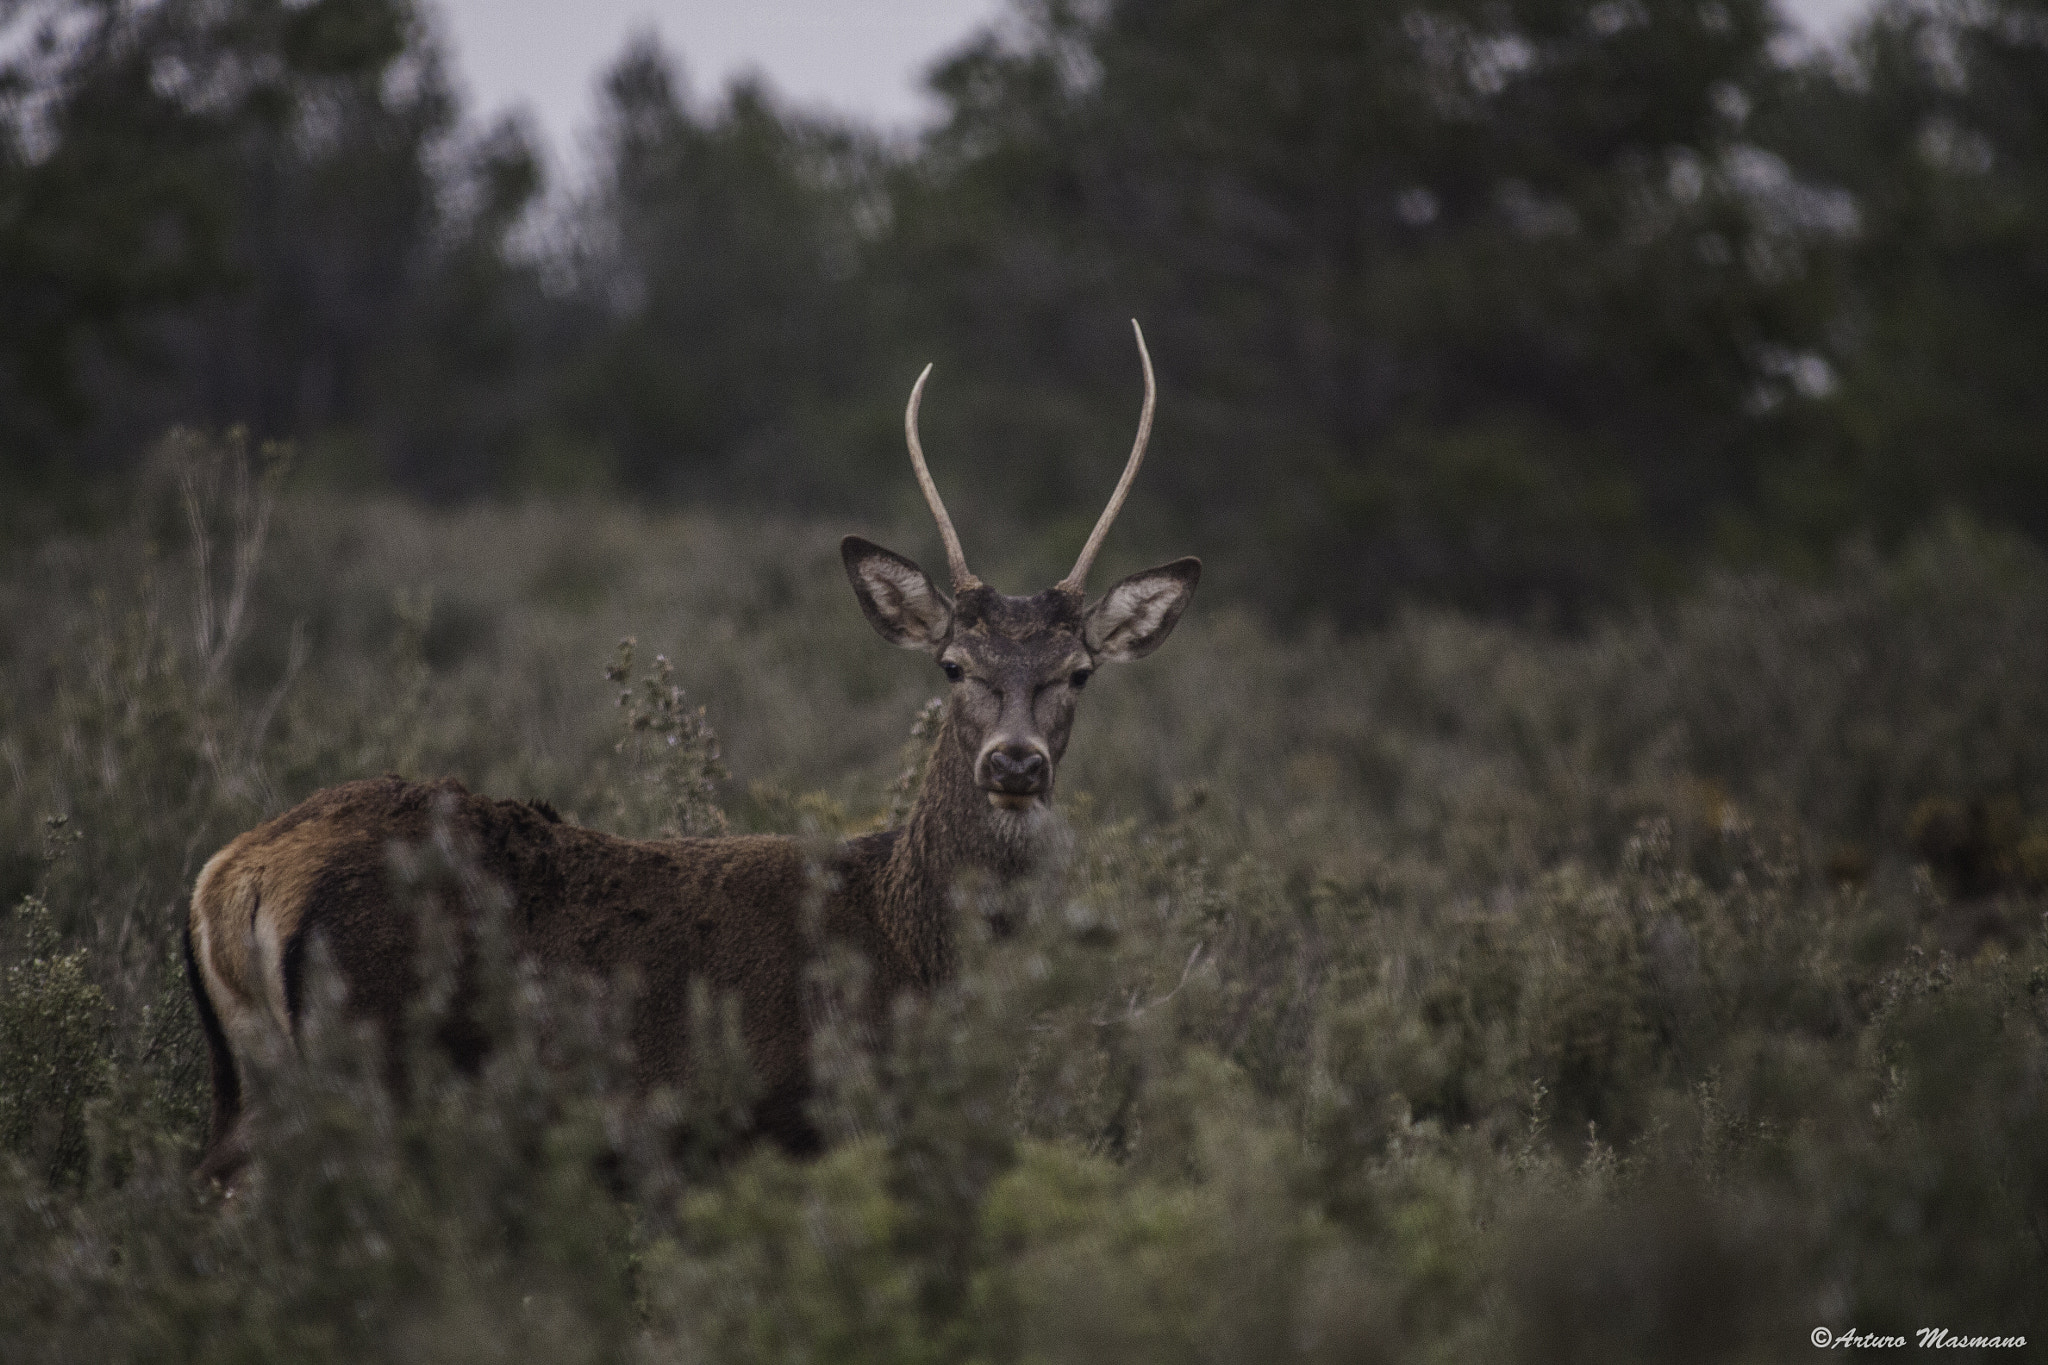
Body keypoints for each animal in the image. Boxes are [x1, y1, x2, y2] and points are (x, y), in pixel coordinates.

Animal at [183, 321, 1200, 1182]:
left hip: (247, 1083)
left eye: (1079, 672)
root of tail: (235, 875)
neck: (912, 956)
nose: (1015, 762)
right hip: (378, 1062)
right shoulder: (785, 1124)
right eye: (953, 664)